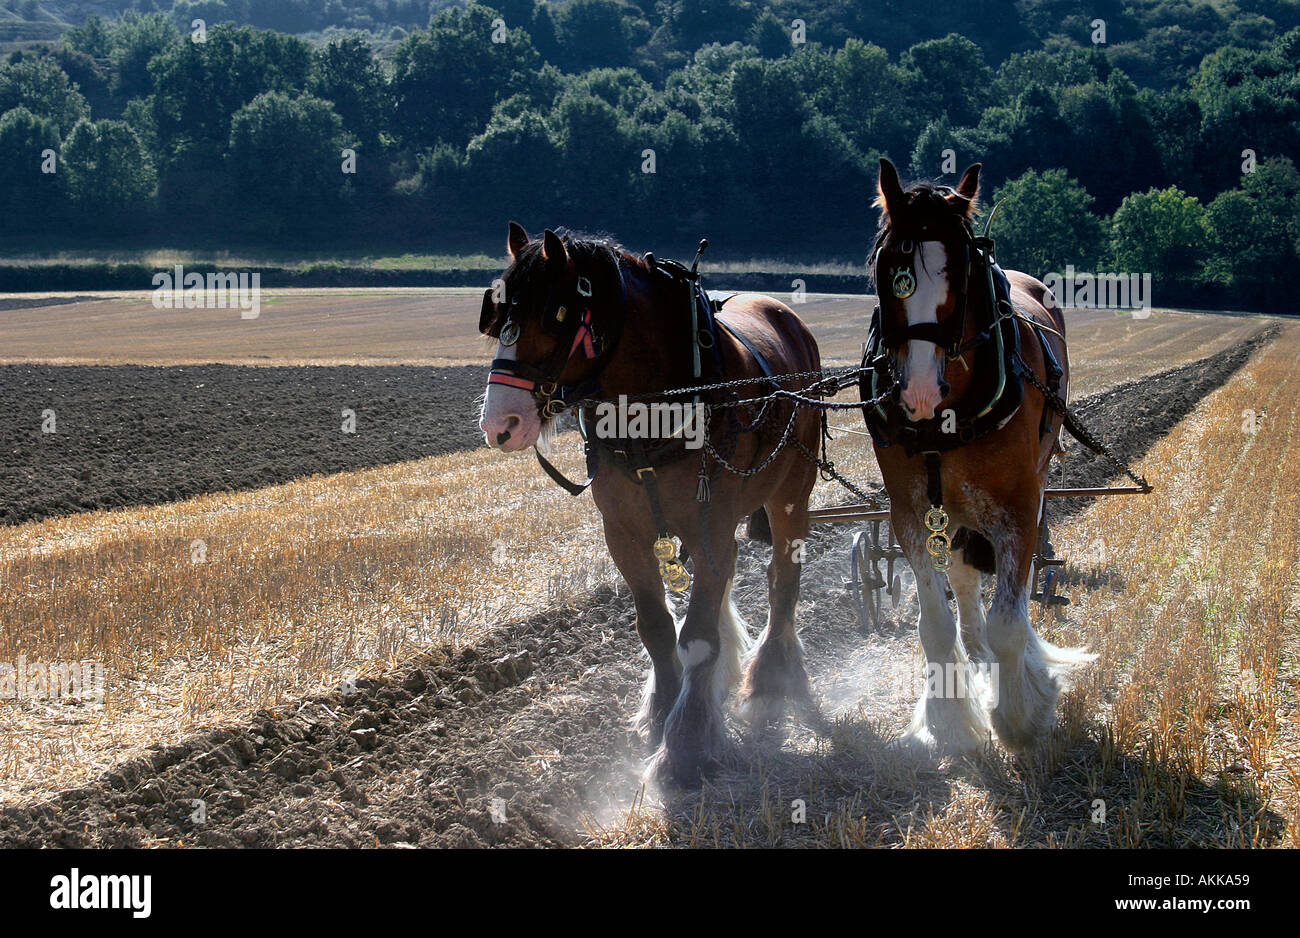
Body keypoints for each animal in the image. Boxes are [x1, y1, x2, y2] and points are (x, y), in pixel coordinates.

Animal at [477, 223, 822, 784]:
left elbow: (698, 636)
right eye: (497, 318)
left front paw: (686, 746)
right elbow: (657, 626)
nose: (498, 424)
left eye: (554, 316)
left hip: (791, 492)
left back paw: (769, 678)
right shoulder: (624, 533)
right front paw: (662, 711)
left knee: (782, 582)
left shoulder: (712, 529)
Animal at [862, 158, 1094, 757]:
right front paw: (948, 720)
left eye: (962, 270)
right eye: (885, 267)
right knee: (966, 583)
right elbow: (936, 624)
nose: (918, 391)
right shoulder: (910, 513)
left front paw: (1019, 717)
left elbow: (1010, 621)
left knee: (1012, 593)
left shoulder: (1018, 506)